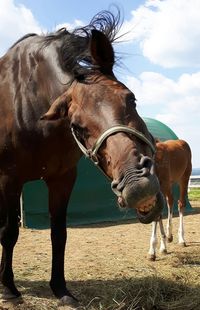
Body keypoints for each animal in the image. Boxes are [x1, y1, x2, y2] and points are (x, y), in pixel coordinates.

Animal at [0, 9, 163, 306]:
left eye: (131, 99)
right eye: (77, 126)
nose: (137, 185)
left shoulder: (63, 179)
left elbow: (59, 234)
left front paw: (61, 289)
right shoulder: (9, 179)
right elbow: (9, 232)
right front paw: (8, 289)